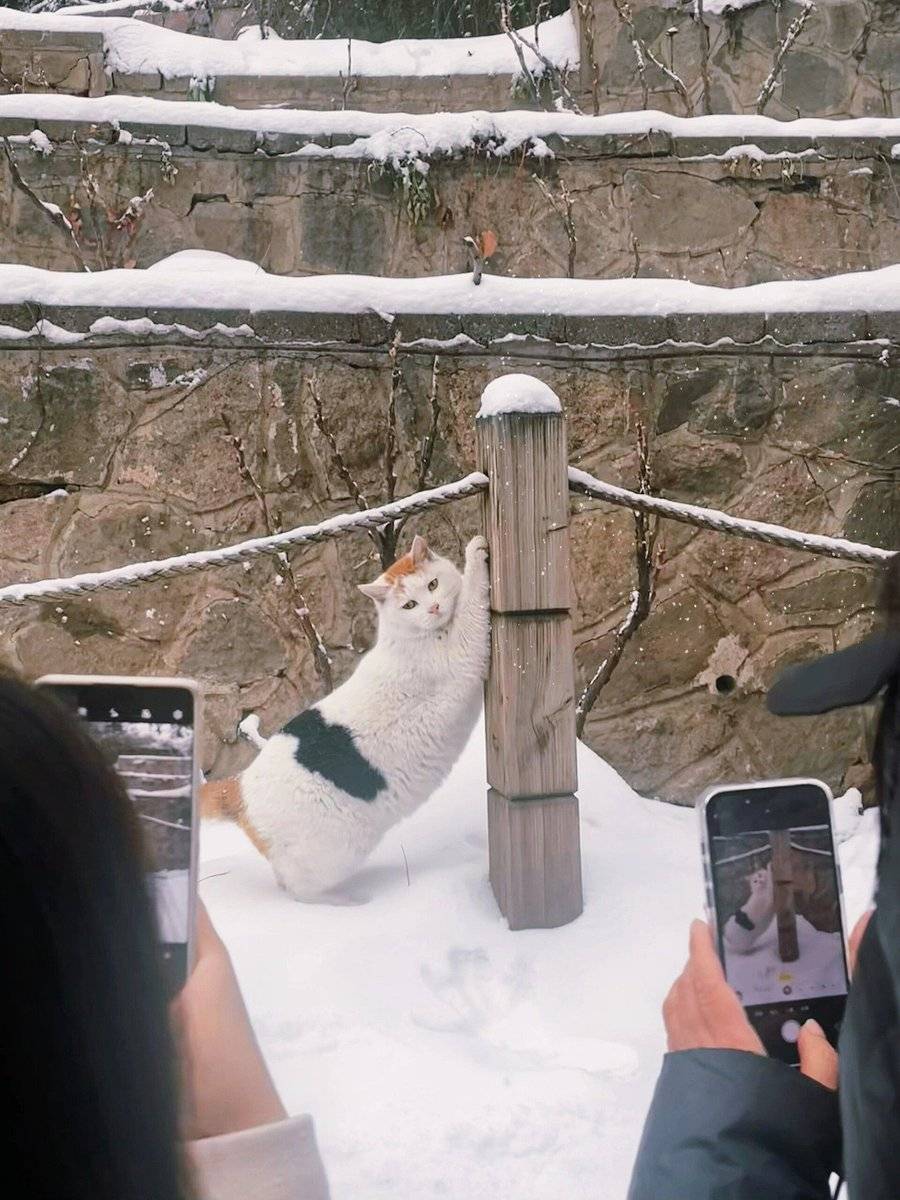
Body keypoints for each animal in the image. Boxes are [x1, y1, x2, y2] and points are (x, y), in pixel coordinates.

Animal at [200, 537, 489, 902]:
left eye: (432, 585)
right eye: (409, 604)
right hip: (330, 857)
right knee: (300, 893)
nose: (434, 608)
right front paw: (476, 551)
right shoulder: (463, 652)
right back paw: (348, 903)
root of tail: (237, 787)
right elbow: (473, 605)